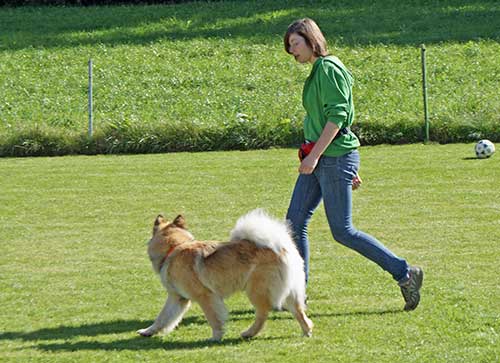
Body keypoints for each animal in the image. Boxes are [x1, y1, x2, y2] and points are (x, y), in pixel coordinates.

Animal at [137, 209, 312, 342]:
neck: (175, 248)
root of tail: (283, 247)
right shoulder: (177, 297)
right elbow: (163, 317)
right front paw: (147, 331)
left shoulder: (205, 296)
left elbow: (214, 318)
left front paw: (216, 337)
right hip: (291, 292)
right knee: (299, 312)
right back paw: (307, 331)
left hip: (256, 290)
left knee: (263, 314)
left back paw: (249, 333)